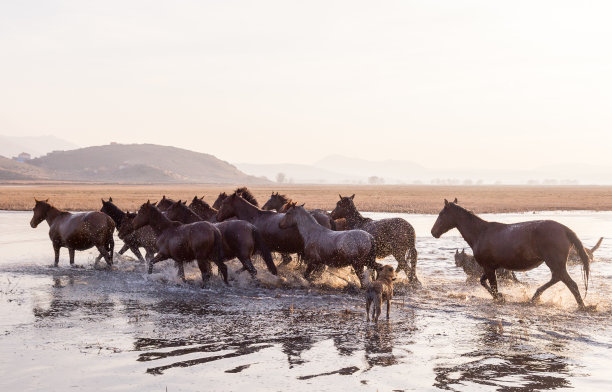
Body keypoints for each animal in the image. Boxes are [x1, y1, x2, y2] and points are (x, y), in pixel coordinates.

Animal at [430, 199, 592, 310]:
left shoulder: (489, 267)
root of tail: (565, 229)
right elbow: (483, 282)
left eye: (441, 214)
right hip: (555, 265)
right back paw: (535, 297)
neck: (481, 233)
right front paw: (501, 296)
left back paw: (582, 306)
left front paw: (499, 298)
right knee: (557, 279)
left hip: (555, 263)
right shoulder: (491, 267)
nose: (433, 232)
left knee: (570, 284)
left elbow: (493, 287)